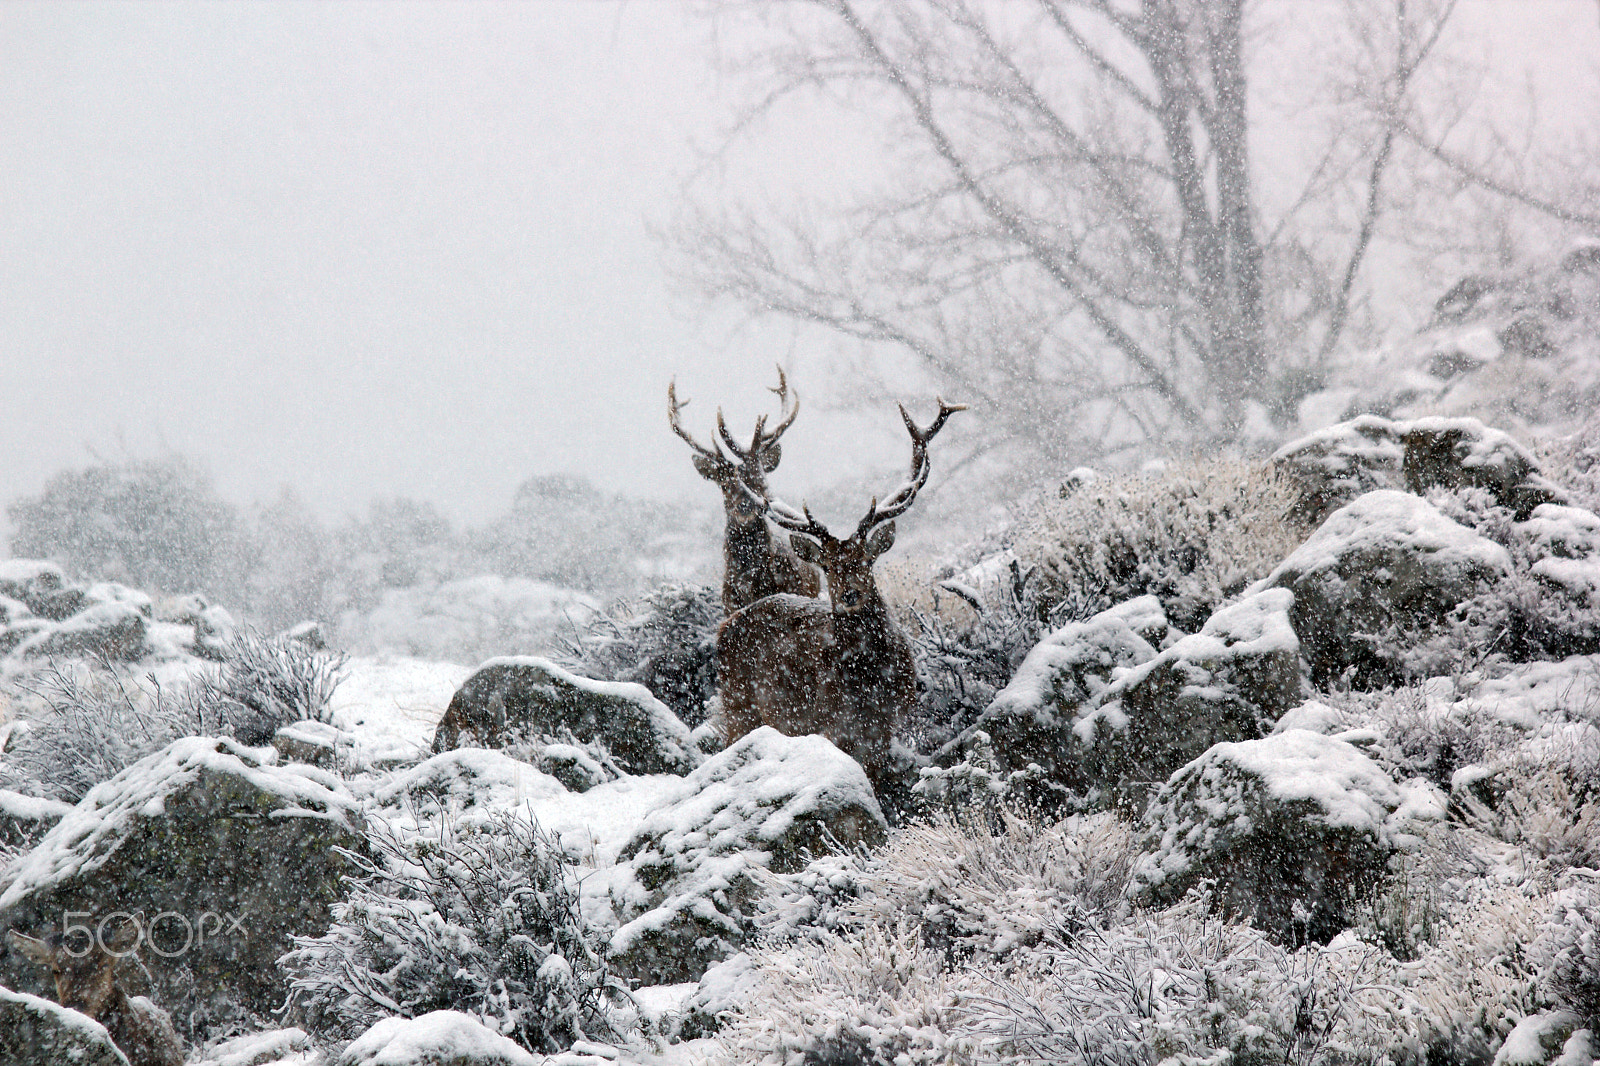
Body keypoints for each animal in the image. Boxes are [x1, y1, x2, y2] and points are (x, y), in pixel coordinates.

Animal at [716, 398, 966, 789]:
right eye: (828, 566)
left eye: (866, 559)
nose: (850, 595)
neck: (869, 681)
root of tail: (726, 625)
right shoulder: (830, 725)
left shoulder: (892, 726)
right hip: (739, 707)